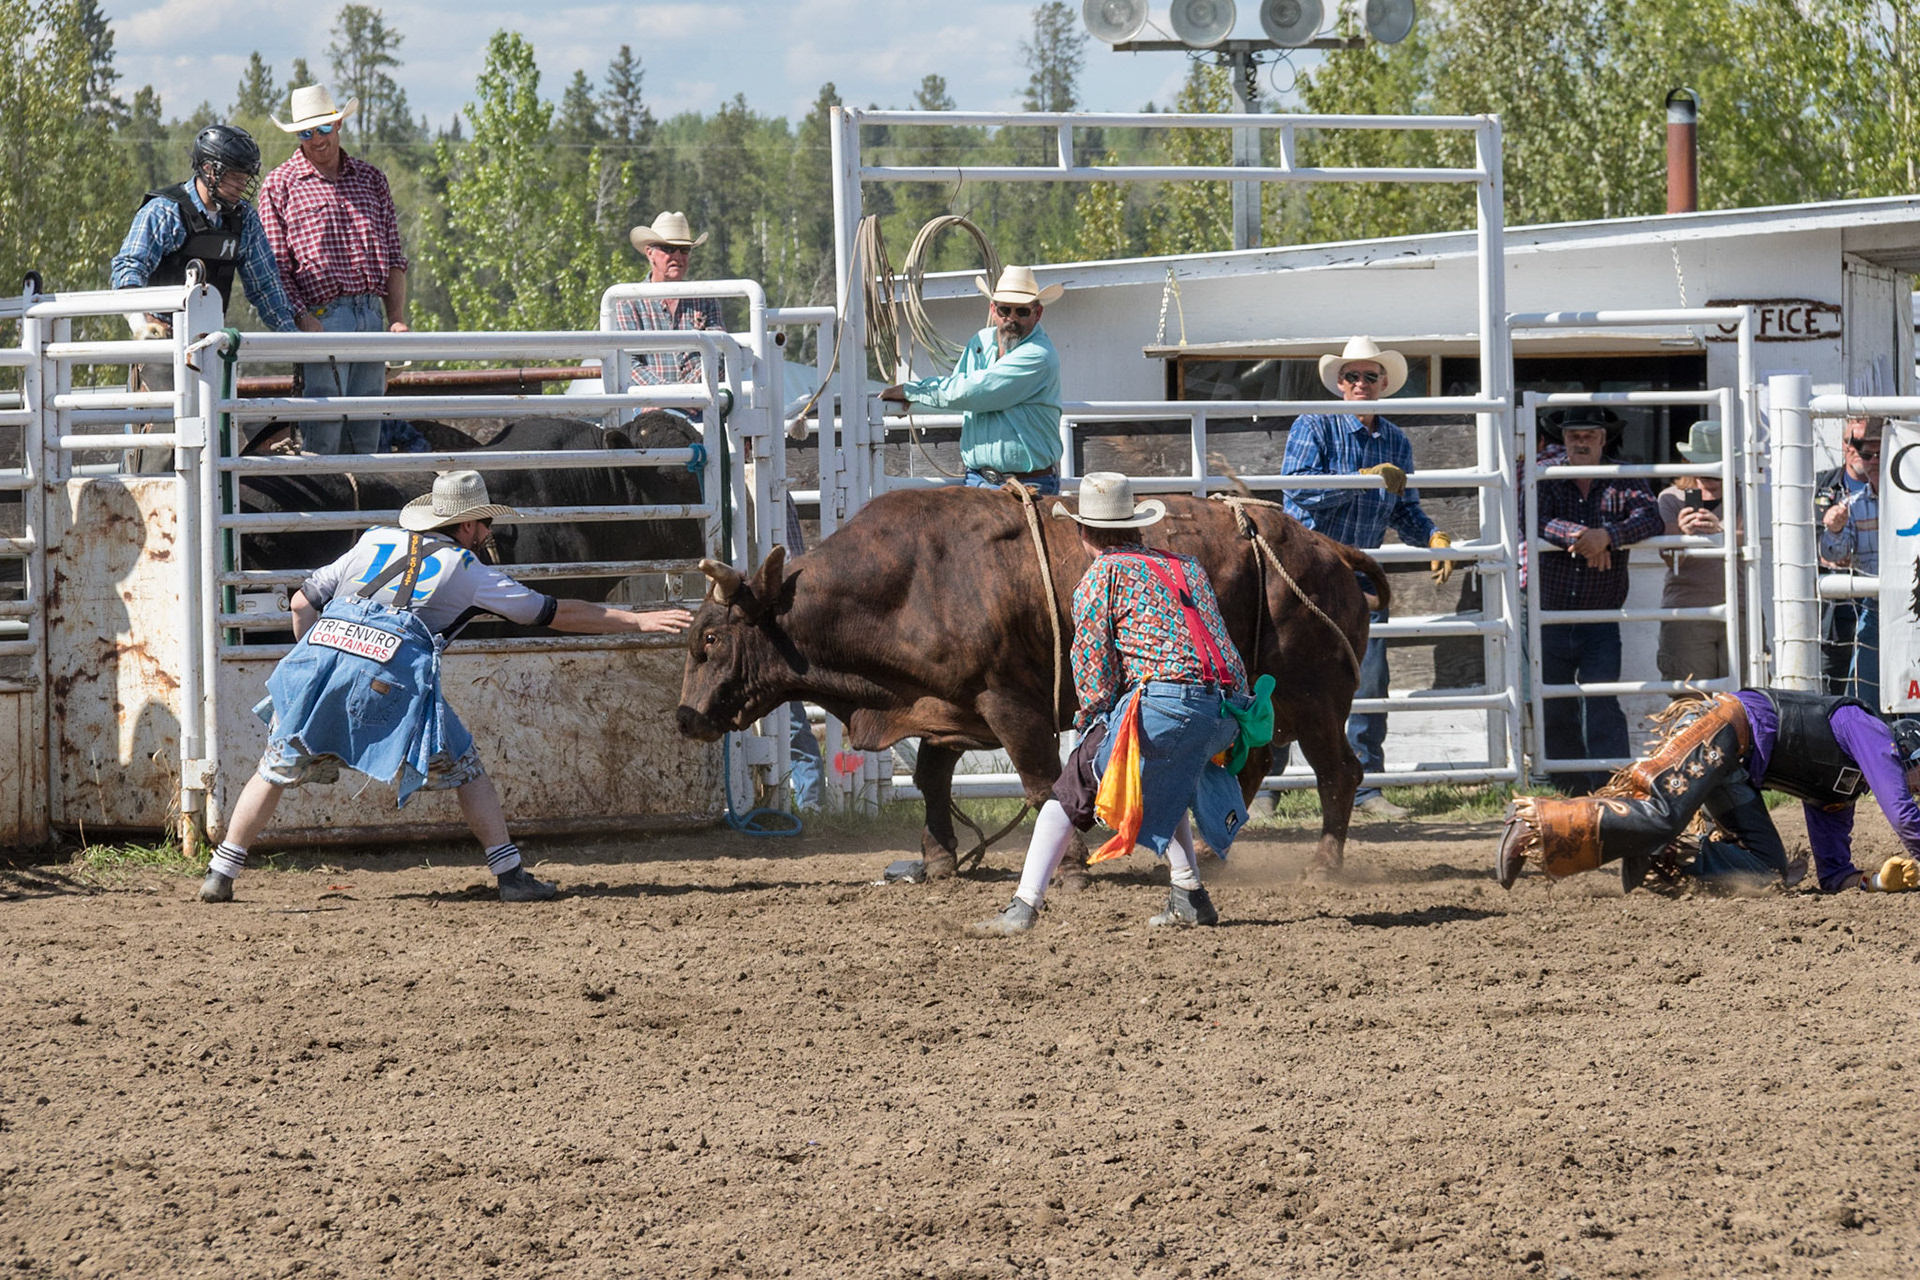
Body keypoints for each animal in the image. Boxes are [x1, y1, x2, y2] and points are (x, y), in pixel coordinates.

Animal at [676, 484, 1387, 879]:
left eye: (710, 640)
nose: (686, 718)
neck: (910, 581)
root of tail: (1324, 546)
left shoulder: (1008, 703)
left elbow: (1043, 782)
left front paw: (1068, 867)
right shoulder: (947, 705)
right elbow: (932, 778)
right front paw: (940, 858)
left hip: (1316, 695)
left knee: (1339, 771)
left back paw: (1323, 864)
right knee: (1258, 762)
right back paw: (1216, 852)